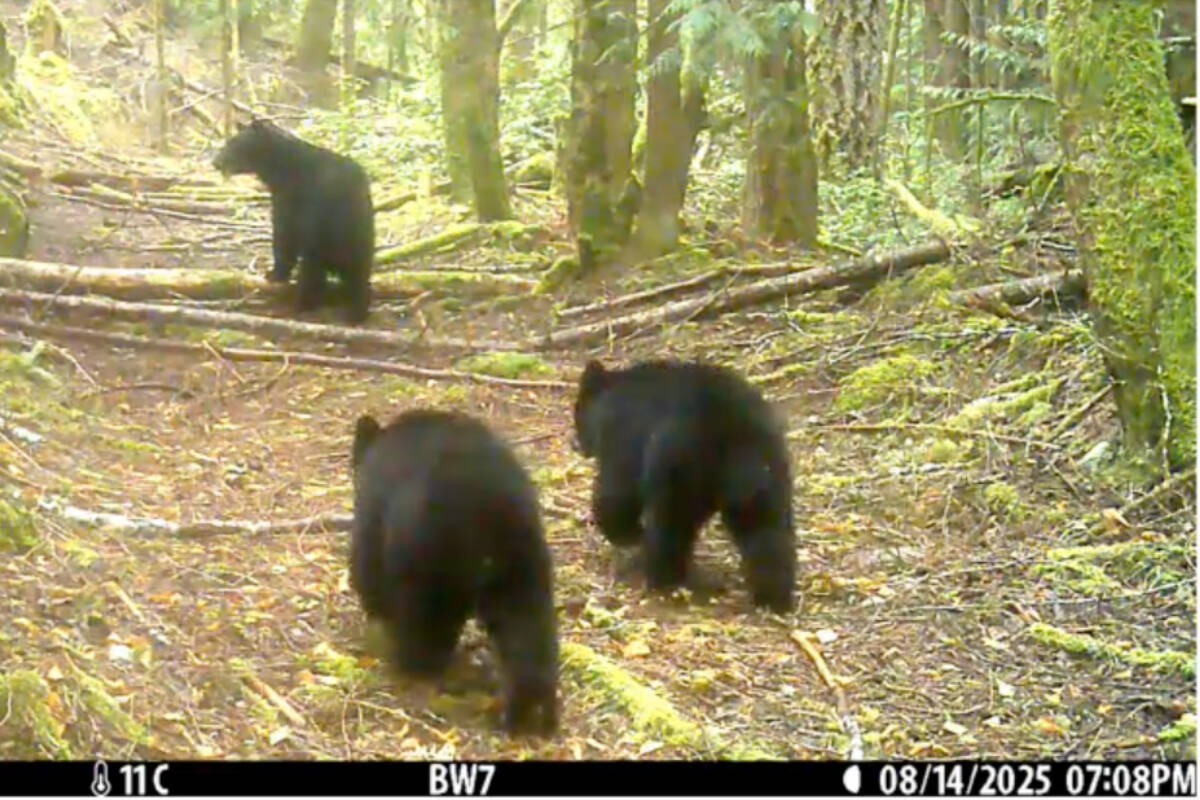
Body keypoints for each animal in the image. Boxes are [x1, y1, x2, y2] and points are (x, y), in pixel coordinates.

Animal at [213, 119, 374, 323]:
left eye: (235, 143)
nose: (216, 162)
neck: (284, 171)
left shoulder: (297, 201)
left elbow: (285, 235)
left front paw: (275, 274)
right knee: (359, 271)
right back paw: (354, 308)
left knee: (315, 266)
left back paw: (306, 303)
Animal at [350, 409, 558, 736]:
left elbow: (366, 566)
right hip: (523, 559)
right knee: (528, 622)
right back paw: (530, 711)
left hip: (428, 555)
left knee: (425, 617)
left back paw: (416, 666)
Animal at [572, 359, 796, 613]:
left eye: (577, 412)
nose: (576, 444)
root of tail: (735, 433)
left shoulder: (623, 433)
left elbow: (617, 491)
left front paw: (628, 536)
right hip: (768, 473)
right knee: (765, 528)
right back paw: (773, 597)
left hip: (679, 465)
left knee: (672, 524)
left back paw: (664, 579)